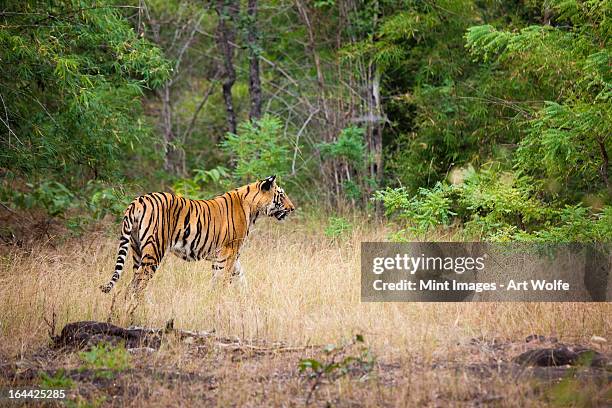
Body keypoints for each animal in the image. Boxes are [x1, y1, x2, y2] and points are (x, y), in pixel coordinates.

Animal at [99, 175, 296, 316]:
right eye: (282, 195)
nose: (293, 208)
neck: (254, 209)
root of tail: (138, 200)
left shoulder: (233, 255)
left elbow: (241, 278)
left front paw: (248, 300)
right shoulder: (228, 252)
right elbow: (221, 279)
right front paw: (216, 301)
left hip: (137, 250)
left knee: (137, 282)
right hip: (154, 250)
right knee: (136, 284)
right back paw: (134, 310)